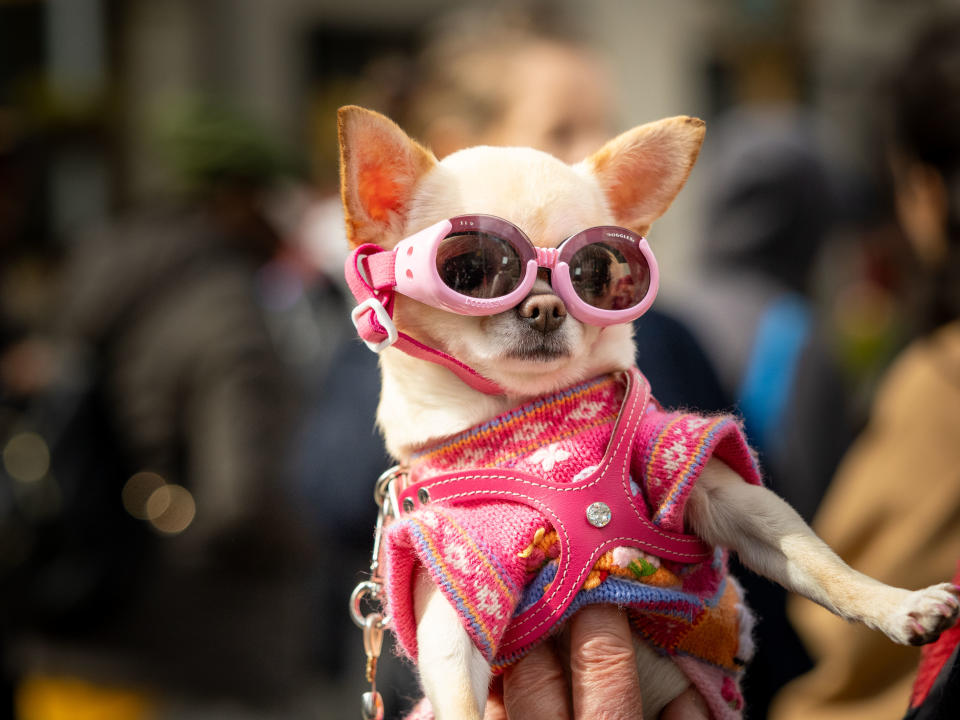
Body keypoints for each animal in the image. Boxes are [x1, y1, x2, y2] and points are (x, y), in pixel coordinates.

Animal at [340, 102, 960, 720]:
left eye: (593, 272)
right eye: (469, 270)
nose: (546, 307)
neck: (534, 428)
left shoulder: (698, 475)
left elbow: (820, 562)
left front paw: (897, 604)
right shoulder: (459, 581)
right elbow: (461, 697)